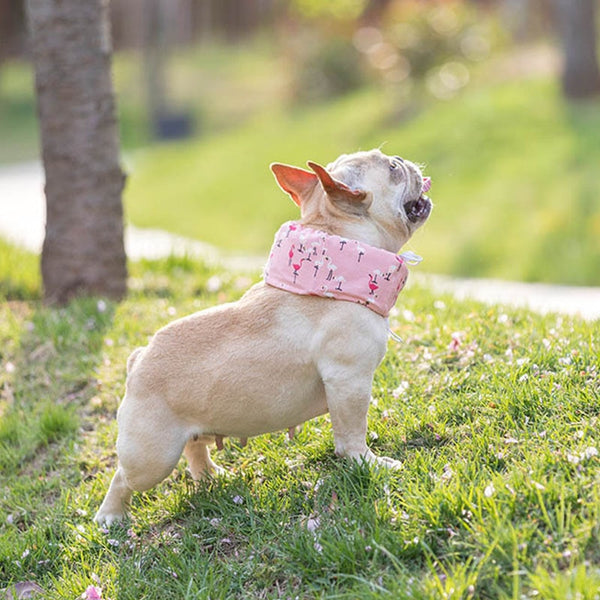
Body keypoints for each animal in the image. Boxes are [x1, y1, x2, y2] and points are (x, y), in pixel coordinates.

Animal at [95, 149, 432, 524]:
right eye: (392, 168)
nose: (404, 159)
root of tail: (138, 359)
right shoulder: (349, 380)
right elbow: (351, 434)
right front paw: (369, 464)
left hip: (191, 428)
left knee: (194, 446)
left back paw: (210, 475)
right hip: (152, 457)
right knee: (124, 477)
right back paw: (110, 515)